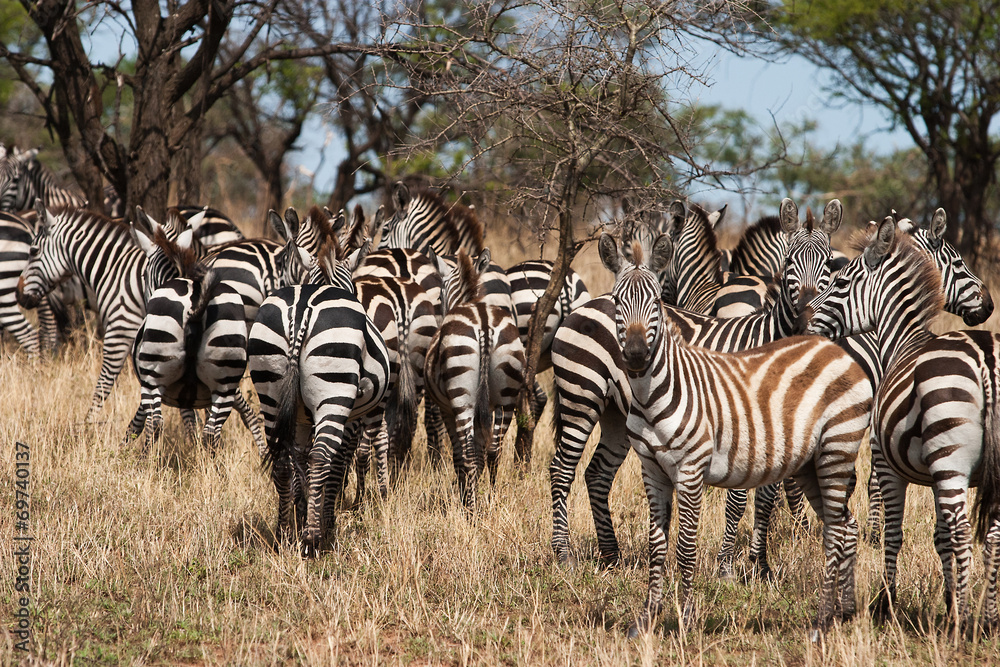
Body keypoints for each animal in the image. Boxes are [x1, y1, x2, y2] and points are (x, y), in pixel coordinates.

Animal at [249, 230, 390, 557]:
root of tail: (300, 311)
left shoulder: (300, 416)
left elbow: (300, 459)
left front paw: (302, 516)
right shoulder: (351, 416)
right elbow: (336, 465)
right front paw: (327, 523)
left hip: (270, 389)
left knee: (282, 460)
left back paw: (284, 534)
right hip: (334, 392)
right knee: (321, 456)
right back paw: (314, 539)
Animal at [423, 248, 525, 514]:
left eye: (439, 295)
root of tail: (485, 322)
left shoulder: (446, 409)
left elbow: (460, 456)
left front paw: (465, 495)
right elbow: (481, 452)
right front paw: (475, 492)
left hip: (462, 400)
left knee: (468, 454)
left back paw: (470, 511)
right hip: (507, 396)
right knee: (494, 451)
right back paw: (491, 500)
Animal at [548, 198, 842, 569]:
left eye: (830, 264)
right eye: (789, 261)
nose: (806, 317)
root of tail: (586, 304)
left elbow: (766, 496)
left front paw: (759, 565)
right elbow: (738, 500)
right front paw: (726, 564)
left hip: (616, 412)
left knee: (597, 474)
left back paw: (611, 555)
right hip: (580, 395)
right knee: (561, 470)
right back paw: (563, 554)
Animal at [600, 229, 870, 637]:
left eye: (655, 303)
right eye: (617, 301)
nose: (634, 355)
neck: (652, 394)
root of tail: (836, 350)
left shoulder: (691, 469)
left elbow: (686, 546)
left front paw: (686, 618)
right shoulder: (652, 469)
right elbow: (656, 546)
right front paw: (646, 619)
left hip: (836, 450)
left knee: (836, 532)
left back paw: (821, 621)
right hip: (812, 464)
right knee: (846, 527)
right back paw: (845, 612)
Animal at [807, 217, 999, 632]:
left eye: (840, 282)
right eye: (958, 261)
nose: (808, 323)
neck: (903, 341)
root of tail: (987, 360)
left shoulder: (886, 461)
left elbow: (894, 532)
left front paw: (886, 602)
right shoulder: (934, 473)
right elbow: (940, 537)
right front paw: (948, 600)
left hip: (949, 461)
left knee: (964, 534)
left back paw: (962, 623)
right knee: (991, 534)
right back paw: (989, 618)